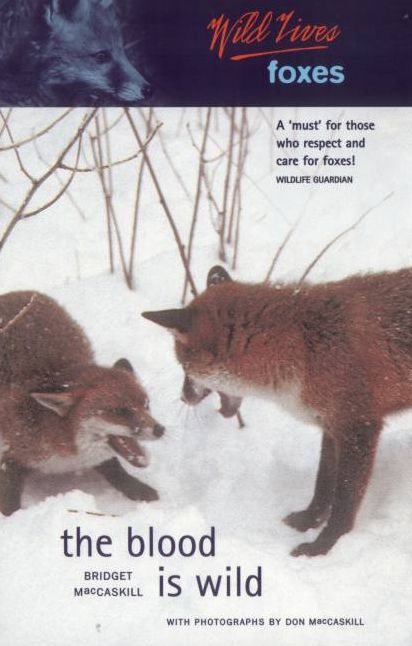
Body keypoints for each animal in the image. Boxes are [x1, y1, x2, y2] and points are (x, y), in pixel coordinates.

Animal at [0, 291, 164, 516]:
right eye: (120, 411)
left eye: (146, 404)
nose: (160, 429)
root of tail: (18, 292)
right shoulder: (12, 453)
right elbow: (9, 499)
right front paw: (13, 518)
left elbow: (113, 468)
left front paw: (136, 489)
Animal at [142, 264, 412, 557]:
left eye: (183, 366)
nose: (183, 397)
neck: (303, 345)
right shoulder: (331, 426)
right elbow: (323, 484)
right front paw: (308, 520)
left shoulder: (358, 425)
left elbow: (343, 501)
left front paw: (323, 546)